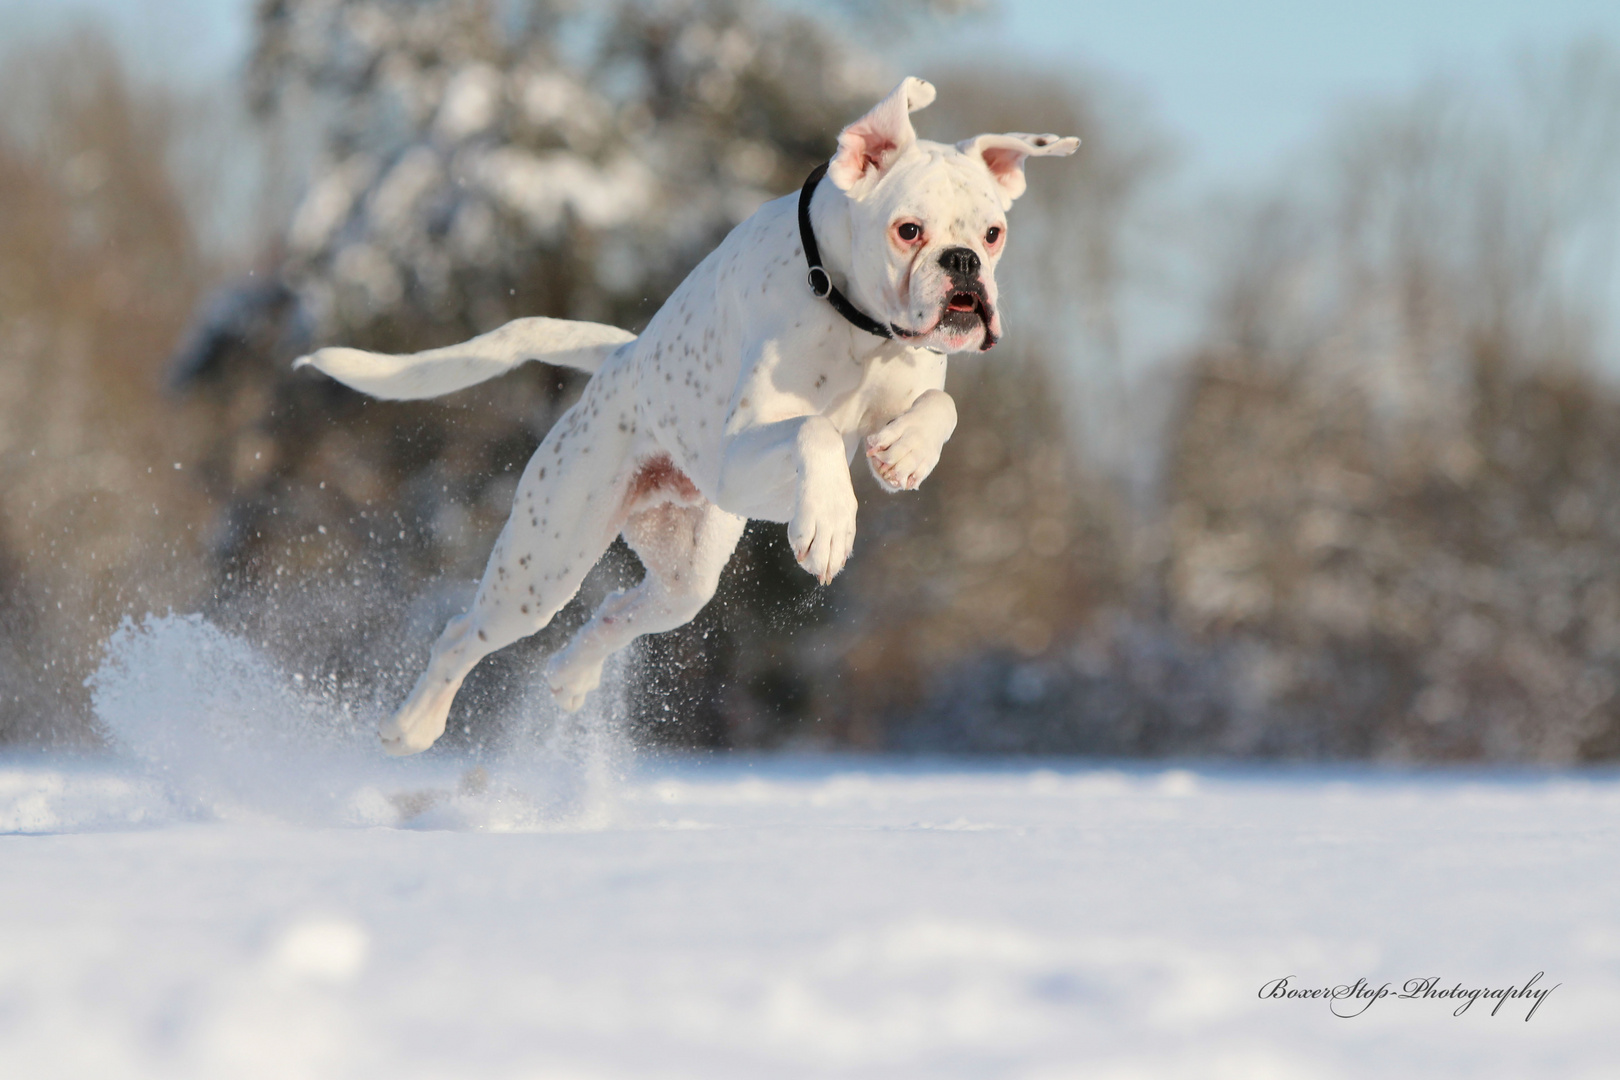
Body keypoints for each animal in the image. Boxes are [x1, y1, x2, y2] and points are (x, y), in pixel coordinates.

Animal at [298, 78, 1075, 751]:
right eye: (908, 230)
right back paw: (412, 725)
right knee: (465, 633)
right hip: (543, 566)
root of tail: (622, 357)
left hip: (685, 577)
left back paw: (571, 677)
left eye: (994, 233)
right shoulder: (739, 455)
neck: (855, 320)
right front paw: (830, 526)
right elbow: (815, 430)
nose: (964, 264)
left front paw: (907, 451)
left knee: (617, 611)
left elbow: (940, 404)